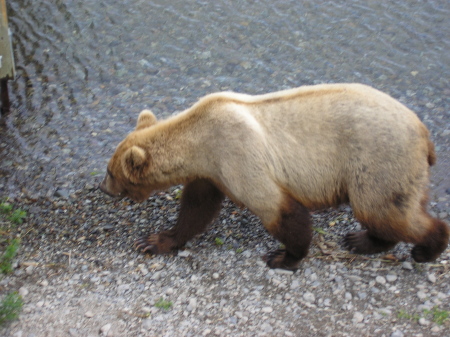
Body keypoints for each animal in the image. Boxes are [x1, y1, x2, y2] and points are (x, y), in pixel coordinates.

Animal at [100, 82, 448, 270]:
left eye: (110, 171)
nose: (103, 187)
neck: (198, 144)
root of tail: (424, 132)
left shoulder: (238, 154)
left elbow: (277, 208)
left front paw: (284, 257)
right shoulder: (210, 172)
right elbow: (195, 209)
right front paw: (156, 240)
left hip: (378, 160)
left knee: (383, 209)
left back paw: (425, 248)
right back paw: (362, 240)